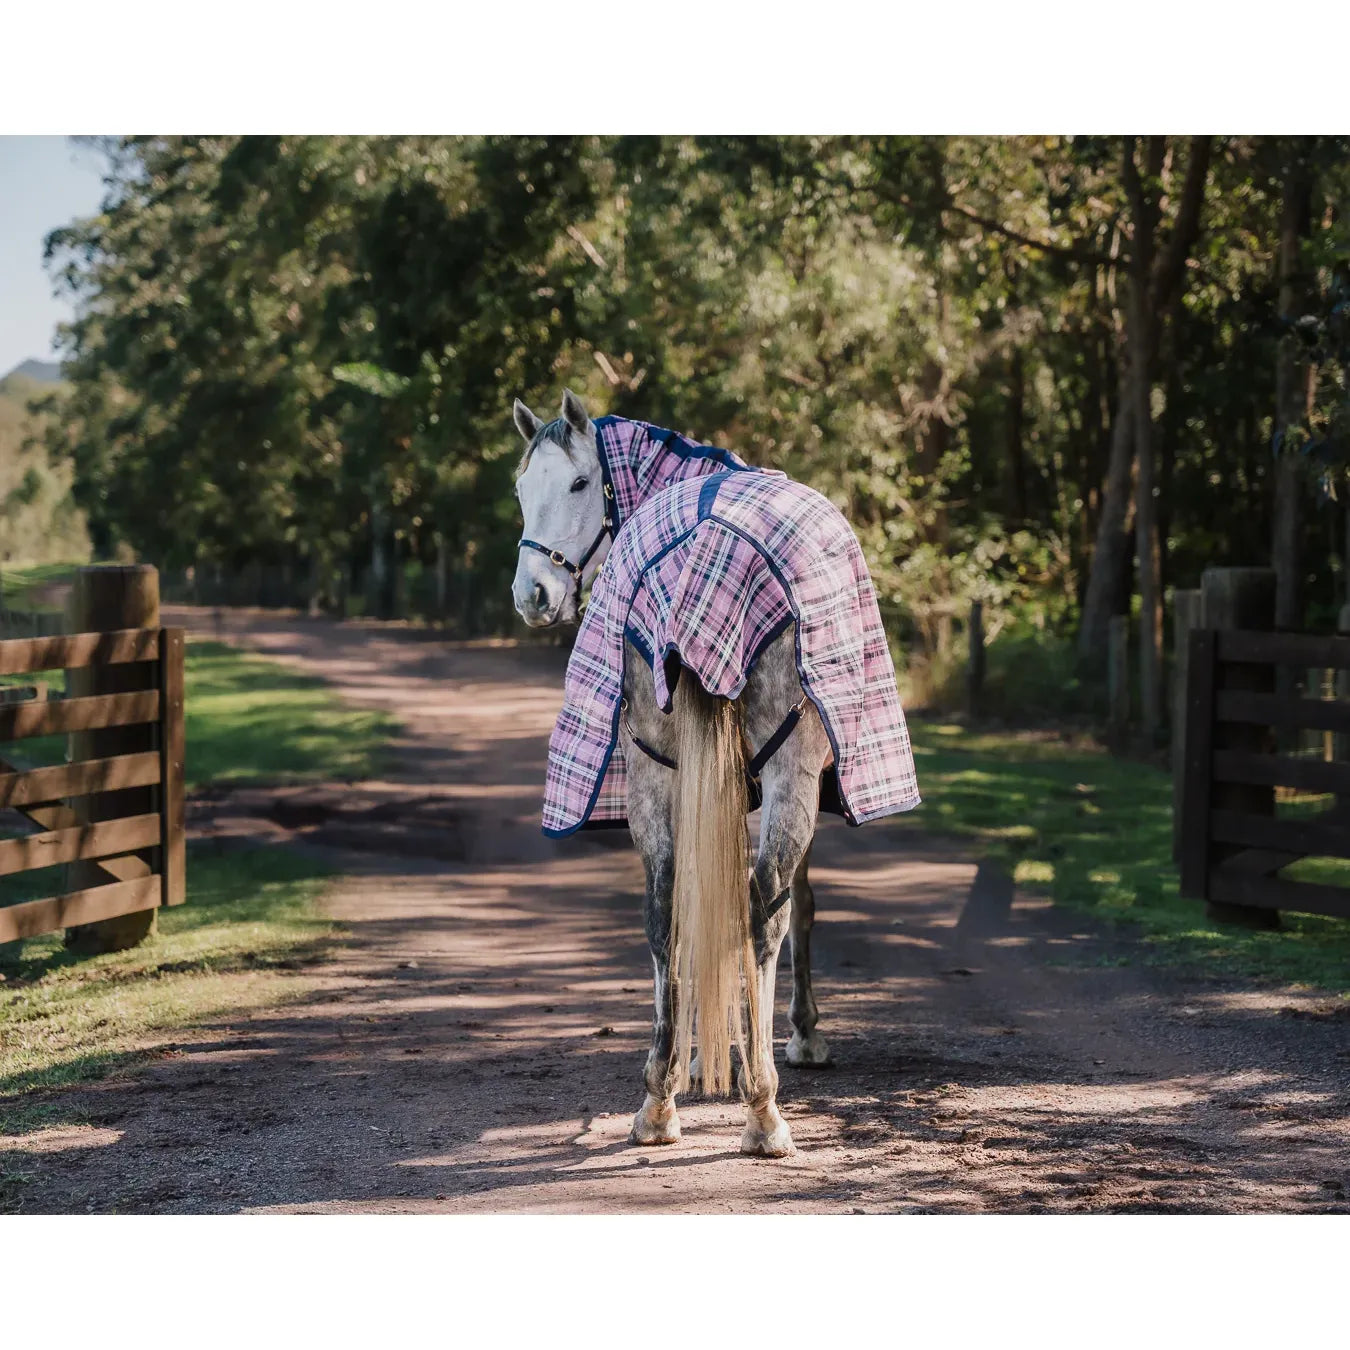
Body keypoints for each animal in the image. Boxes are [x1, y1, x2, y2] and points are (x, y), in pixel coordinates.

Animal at [511, 389, 919, 1156]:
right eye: (522, 490)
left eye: (577, 484)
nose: (533, 595)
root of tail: (704, 547)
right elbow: (794, 909)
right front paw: (798, 1036)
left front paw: (699, 1059)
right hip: (789, 775)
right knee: (763, 911)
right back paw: (763, 1108)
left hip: (653, 774)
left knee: (664, 907)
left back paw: (658, 1101)